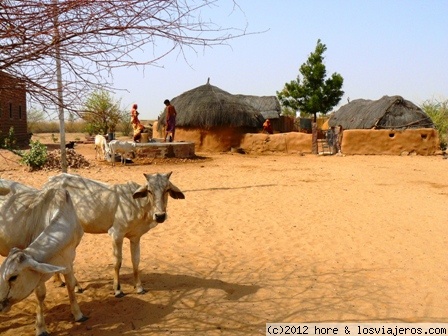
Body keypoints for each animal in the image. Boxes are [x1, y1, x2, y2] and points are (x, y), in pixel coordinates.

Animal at [0, 186, 87, 336]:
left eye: (13, 277)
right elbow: (40, 294)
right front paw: (41, 328)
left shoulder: (69, 259)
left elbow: (70, 285)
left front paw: (78, 314)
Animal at [44, 173, 186, 296]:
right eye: (149, 190)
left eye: (167, 189)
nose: (160, 215)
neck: (138, 204)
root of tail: (48, 183)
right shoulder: (116, 234)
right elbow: (118, 262)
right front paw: (117, 289)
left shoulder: (135, 237)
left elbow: (136, 261)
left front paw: (139, 287)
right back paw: (76, 286)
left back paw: (59, 281)